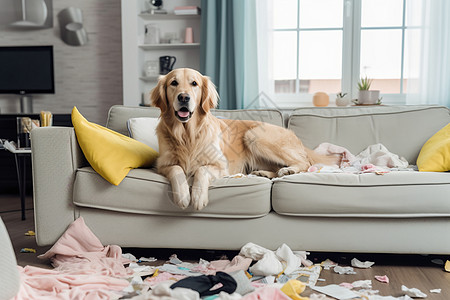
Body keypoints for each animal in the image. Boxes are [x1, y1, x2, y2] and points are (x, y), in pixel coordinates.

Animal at [151, 68, 338, 210]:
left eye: (194, 84)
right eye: (173, 83)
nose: (184, 97)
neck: (187, 134)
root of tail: (292, 134)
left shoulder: (222, 165)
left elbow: (201, 170)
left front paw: (197, 197)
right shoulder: (162, 164)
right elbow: (176, 169)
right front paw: (182, 195)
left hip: (254, 136)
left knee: (305, 163)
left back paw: (289, 170)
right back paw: (264, 173)